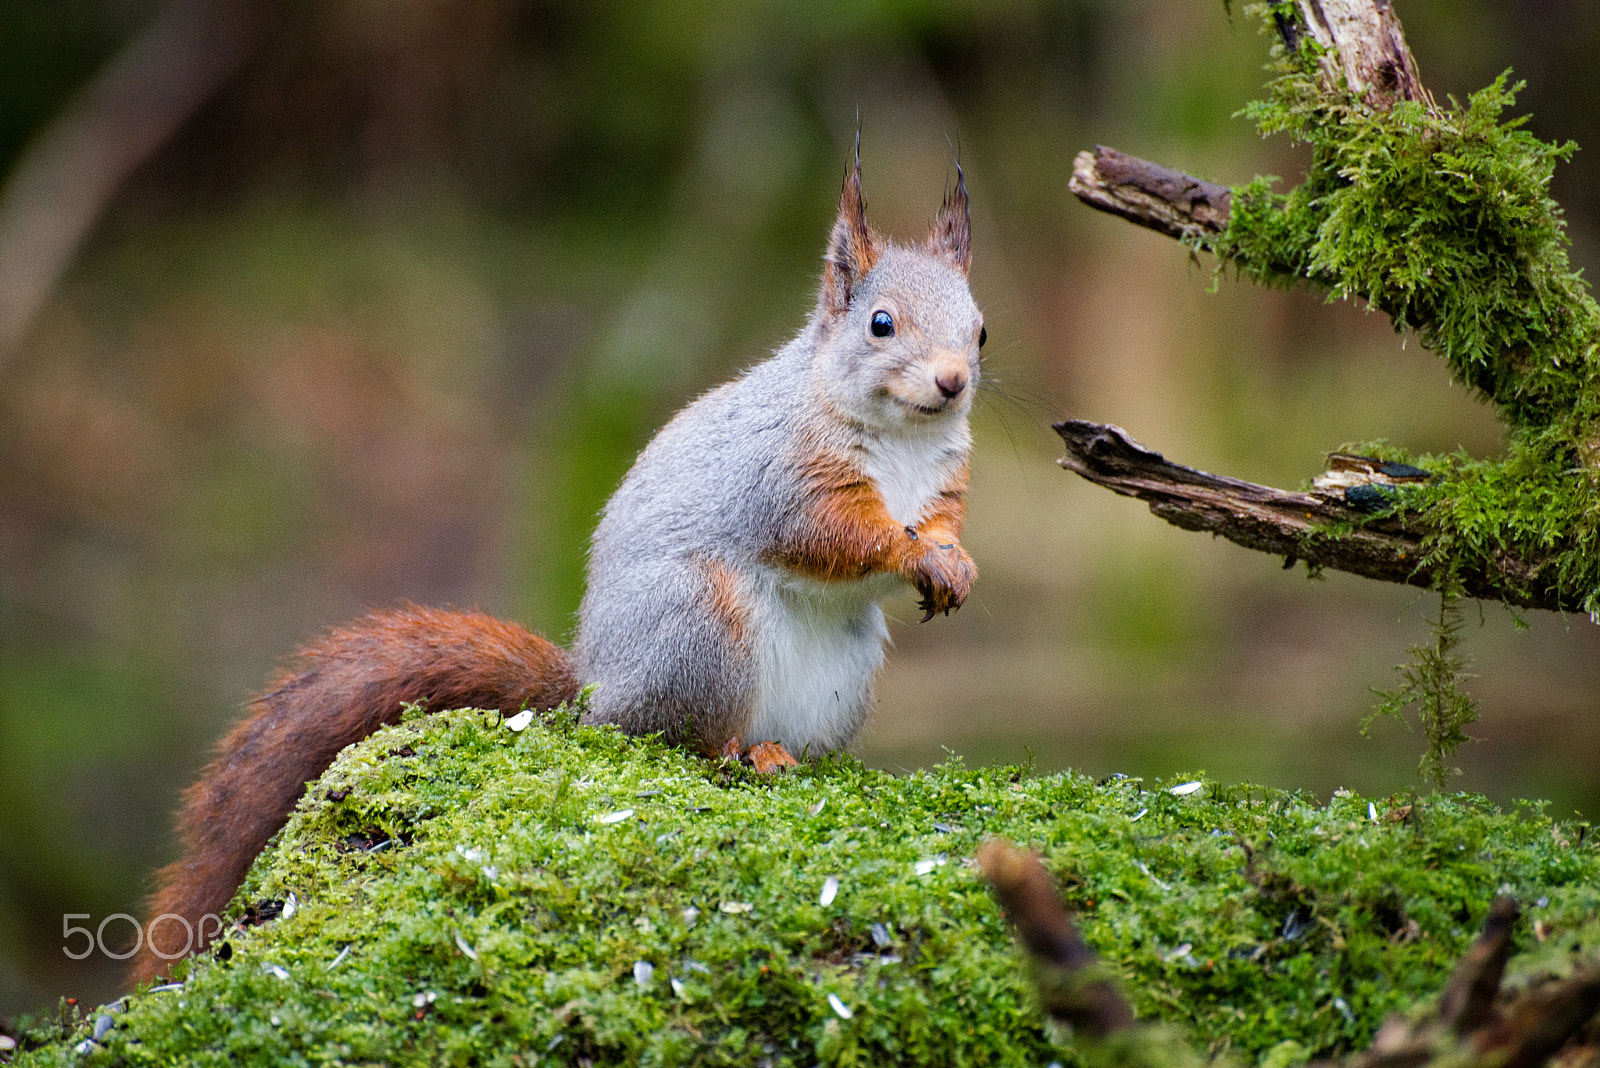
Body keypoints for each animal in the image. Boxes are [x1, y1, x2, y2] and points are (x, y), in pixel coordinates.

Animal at [131, 154, 983, 984]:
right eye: (880, 324)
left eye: (979, 330)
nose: (954, 382)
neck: (901, 440)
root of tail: (595, 687)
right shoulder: (787, 480)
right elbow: (834, 536)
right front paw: (911, 552)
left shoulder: (944, 482)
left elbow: (941, 524)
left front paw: (957, 564)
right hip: (701, 628)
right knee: (678, 737)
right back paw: (743, 752)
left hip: (841, 671)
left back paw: (791, 754)